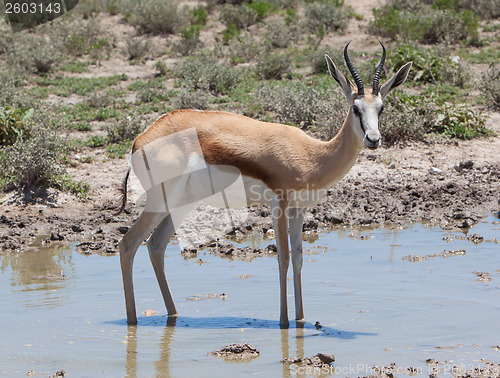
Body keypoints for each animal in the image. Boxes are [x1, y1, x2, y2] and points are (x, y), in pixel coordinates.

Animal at [116, 42, 410, 328]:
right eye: (355, 108)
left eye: (381, 108)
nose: (374, 139)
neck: (311, 155)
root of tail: (140, 140)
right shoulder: (278, 204)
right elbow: (284, 258)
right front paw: (284, 322)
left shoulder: (299, 209)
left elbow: (299, 257)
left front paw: (301, 319)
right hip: (160, 200)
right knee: (128, 243)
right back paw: (132, 320)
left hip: (182, 203)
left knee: (155, 245)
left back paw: (173, 315)